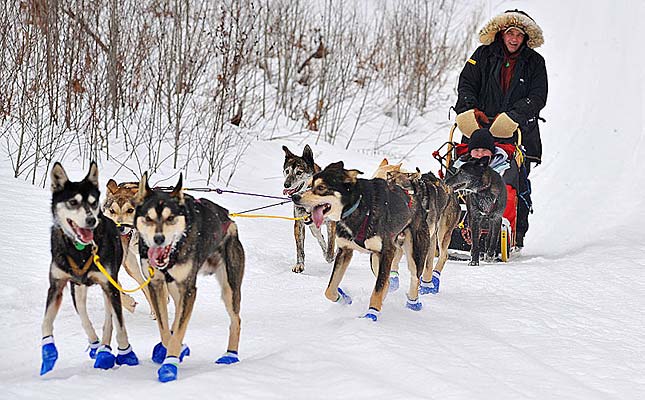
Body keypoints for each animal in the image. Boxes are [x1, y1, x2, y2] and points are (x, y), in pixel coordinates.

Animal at [40, 161, 138, 376]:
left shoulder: (109, 283)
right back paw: (99, 347)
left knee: (112, 318)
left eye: (93, 203)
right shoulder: (59, 285)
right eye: (72, 202)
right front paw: (49, 353)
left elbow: (118, 325)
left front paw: (126, 354)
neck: (80, 249)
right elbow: (51, 322)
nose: (91, 219)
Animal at [290, 161, 430, 320]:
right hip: (375, 260)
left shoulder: (387, 251)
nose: (295, 196)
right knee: (387, 281)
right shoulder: (344, 251)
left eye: (321, 188)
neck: (359, 206)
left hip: (414, 253)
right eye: (308, 185)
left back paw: (413, 303)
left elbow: (377, 290)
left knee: (414, 277)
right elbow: (330, 290)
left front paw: (371, 315)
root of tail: (414, 197)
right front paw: (344, 299)